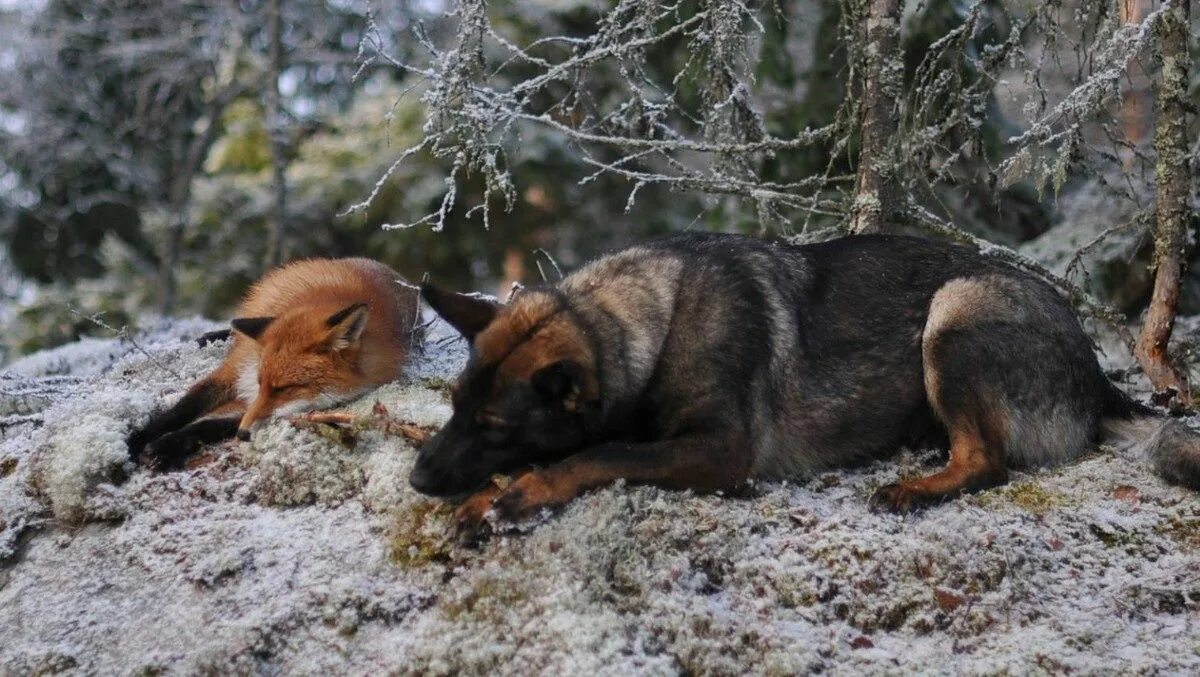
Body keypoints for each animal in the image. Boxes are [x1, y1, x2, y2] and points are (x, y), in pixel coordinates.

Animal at [128, 256, 422, 468]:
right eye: (262, 383)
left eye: (284, 388)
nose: (243, 435)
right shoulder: (234, 370)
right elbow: (183, 408)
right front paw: (138, 440)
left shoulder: (250, 403)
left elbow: (208, 425)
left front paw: (167, 447)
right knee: (234, 330)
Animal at [410, 232, 1200, 535]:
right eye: (455, 407)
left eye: (495, 427)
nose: (417, 479)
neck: (656, 322)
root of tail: (1097, 376)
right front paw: (488, 496)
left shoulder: (718, 450)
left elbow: (599, 453)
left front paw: (526, 489)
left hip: (952, 312)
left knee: (988, 462)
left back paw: (914, 488)